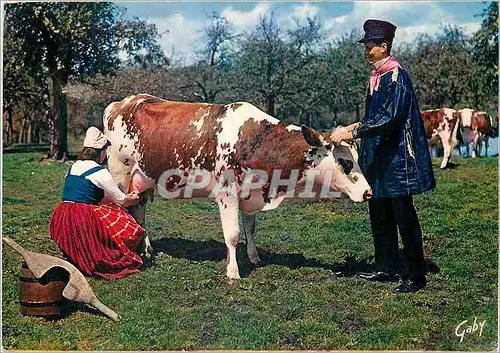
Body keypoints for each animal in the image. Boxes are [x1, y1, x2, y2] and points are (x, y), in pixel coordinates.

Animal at [103, 93, 374, 280]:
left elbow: (250, 229)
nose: (368, 192)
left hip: (141, 180)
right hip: (120, 174)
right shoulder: (227, 193)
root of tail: (122, 102)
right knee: (125, 209)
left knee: (139, 211)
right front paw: (233, 272)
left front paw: (254, 257)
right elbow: (232, 235)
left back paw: (146, 248)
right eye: (345, 162)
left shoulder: (250, 194)